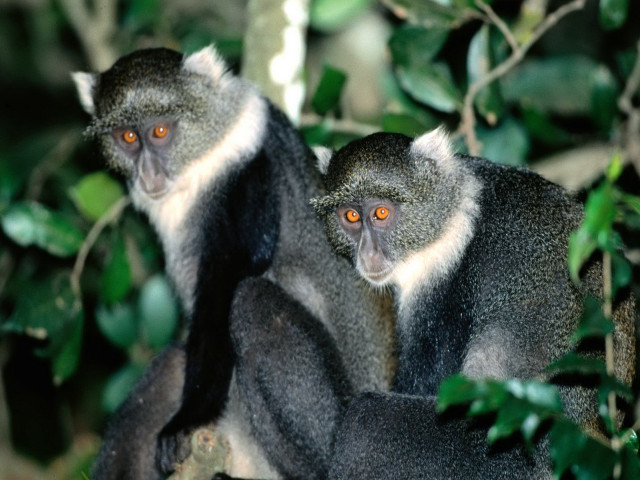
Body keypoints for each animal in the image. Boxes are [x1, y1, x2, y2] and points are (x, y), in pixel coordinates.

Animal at [73, 46, 395, 479]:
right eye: (127, 137)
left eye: (160, 132)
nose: (147, 173)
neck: (202, 160)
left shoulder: (249, 172)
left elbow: (227, 282)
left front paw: (188, 420)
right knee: (171, 365)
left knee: (251, 302)